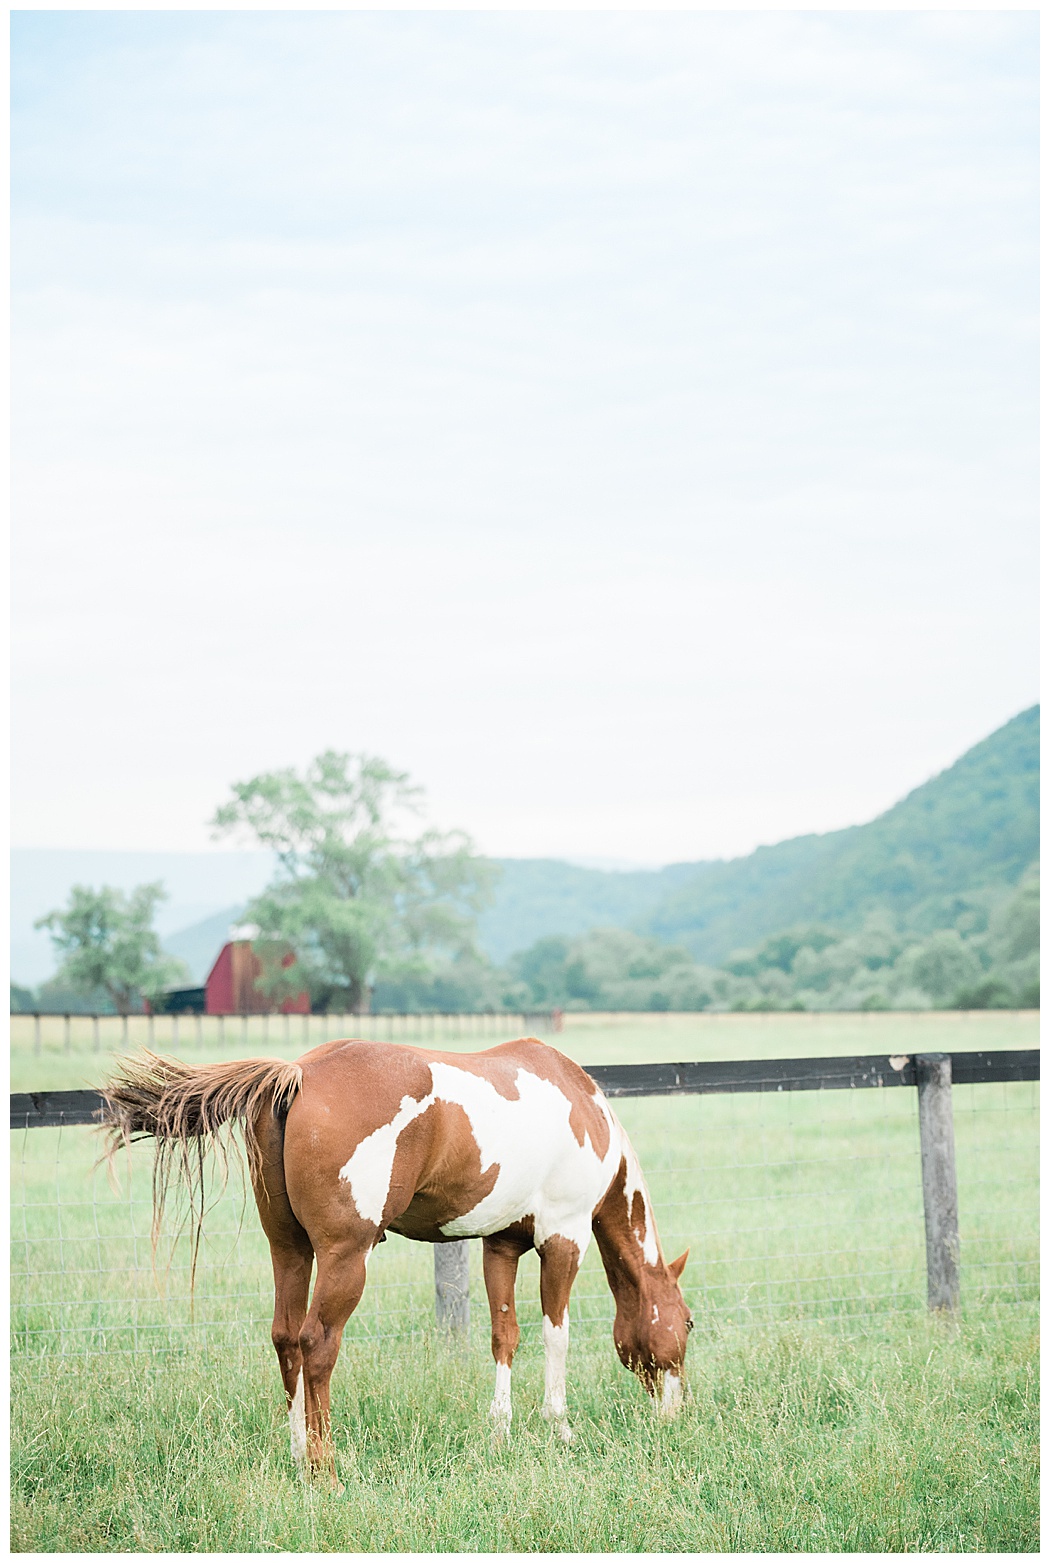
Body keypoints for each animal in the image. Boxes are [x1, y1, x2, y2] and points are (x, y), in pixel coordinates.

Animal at [102, 1031, 693, 1481]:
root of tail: (300, 1073)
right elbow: (556, 1335)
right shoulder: (563, 1238)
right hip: (345, 1257)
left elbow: (505, 1337)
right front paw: (560, 1428)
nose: (677, 1412)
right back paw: (324, 1468)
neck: (584, 1108)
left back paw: (297, 1452)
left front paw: (500, 1432)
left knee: (286, 1339)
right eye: (688, 1322)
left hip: (289, 1250)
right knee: (317, 1344)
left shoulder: (501, 1243)